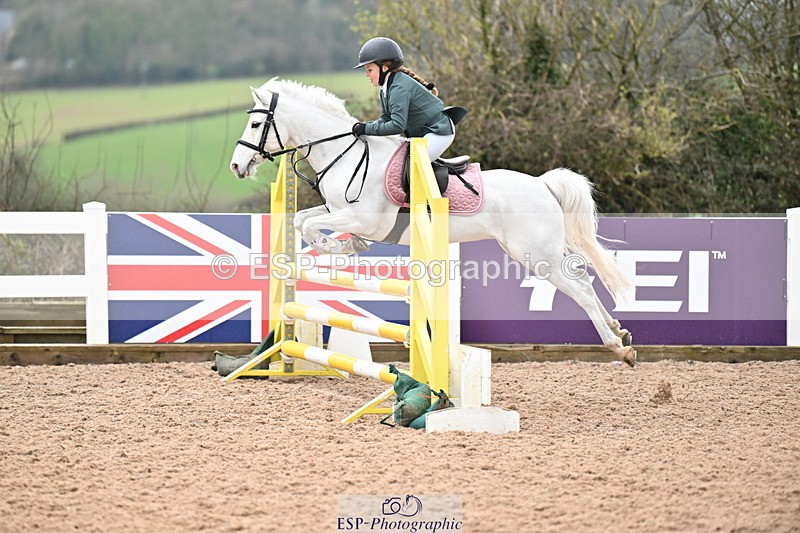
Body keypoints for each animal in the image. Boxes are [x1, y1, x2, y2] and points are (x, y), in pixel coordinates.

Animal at [229, 78, 637, 366]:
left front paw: (334, 245)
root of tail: (543, 184)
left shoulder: (365, 219)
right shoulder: (336, 209)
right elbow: (302, 218)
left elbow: (313, 226)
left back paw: (618, 347)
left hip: (536, 256)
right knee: (584, 278)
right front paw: (340, 245)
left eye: (255, 123)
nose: (236, 166)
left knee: (579, 288)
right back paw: (620, 331)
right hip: (540, 250)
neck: (343, 151)